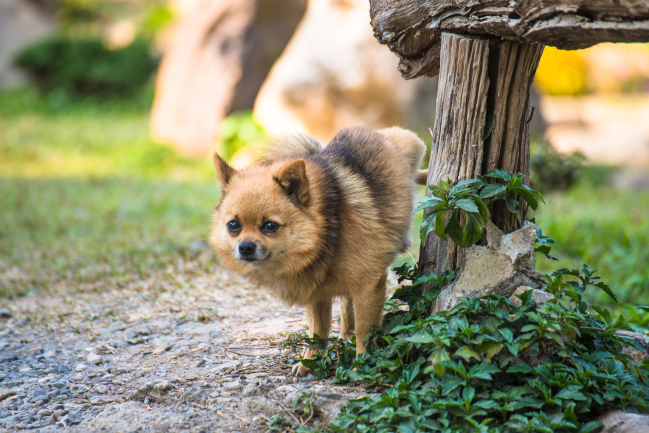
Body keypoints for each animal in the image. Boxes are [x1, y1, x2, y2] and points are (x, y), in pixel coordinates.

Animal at [210, 125, 428, 374]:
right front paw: (311, 361)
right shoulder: (316, 293)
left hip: (412, 144)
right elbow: (318, 331)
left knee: (417, 171)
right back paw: (345, 334)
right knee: (345, 304)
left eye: (270, 226)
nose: (245, 247)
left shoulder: (369, 286)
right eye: (233, 225)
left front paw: (362, 363)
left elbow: (365, 331)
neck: (325, 235)